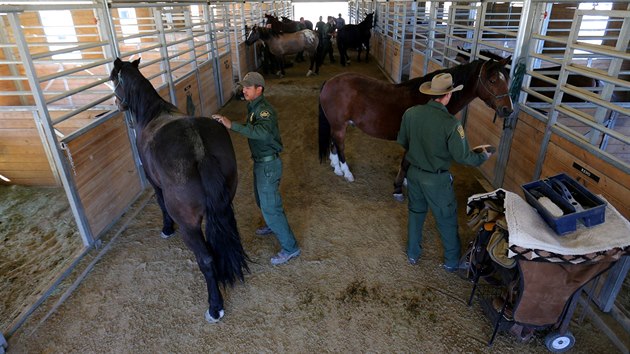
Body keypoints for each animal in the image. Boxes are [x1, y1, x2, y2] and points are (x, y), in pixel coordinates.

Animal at [108, 58, 249, 324]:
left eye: (113, 78)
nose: (117, 104)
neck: (153, 113)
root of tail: (198, 148)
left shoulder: (155, 184)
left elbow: (161, 203)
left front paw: (166, 229)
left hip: (188, 224)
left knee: (206, 259)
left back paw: (215, 307)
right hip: (225, 206)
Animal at [318, 56, 516, 198]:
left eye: (507, 80)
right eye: (492, 80)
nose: (508, 110)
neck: (430, 99)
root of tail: (329, 82)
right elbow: (406, 161)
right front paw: (399, 187)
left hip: (336, 125)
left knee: (333, 144)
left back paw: (336, 168)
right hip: (339, 126)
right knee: (340, 146)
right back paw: (346, 173)